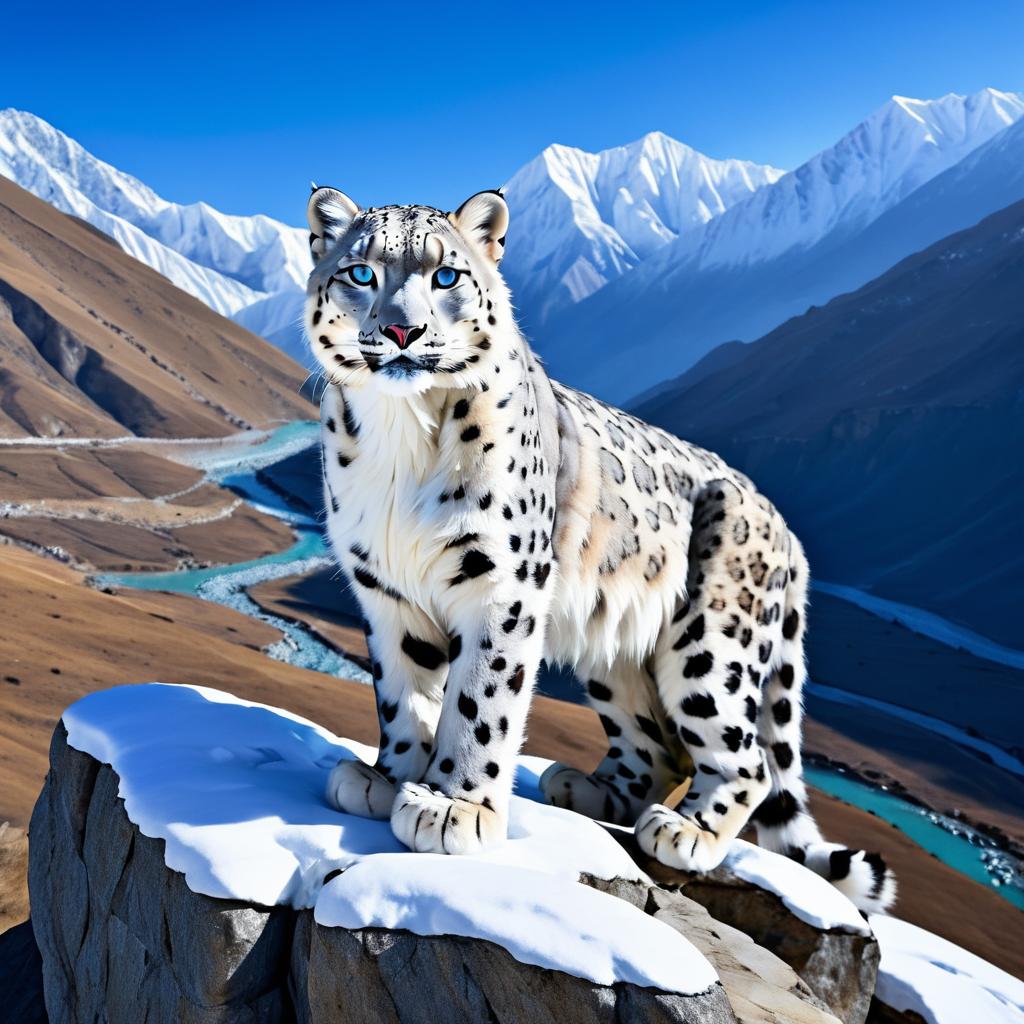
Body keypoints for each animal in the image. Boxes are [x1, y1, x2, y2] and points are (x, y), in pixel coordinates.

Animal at [305, 184, 897, 913]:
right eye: (361, 273)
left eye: (447, 276)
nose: (401, 331)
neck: (399, 436)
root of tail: (783, 524)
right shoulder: (388, 591)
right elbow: (404, 694)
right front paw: (386, 778)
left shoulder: (503, 585)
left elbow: (480, 700)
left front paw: (455, 808)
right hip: (613, 647)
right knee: (660, 743)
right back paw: (587, 788)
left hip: (712, 643)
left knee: (748, 756)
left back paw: (685, 831)